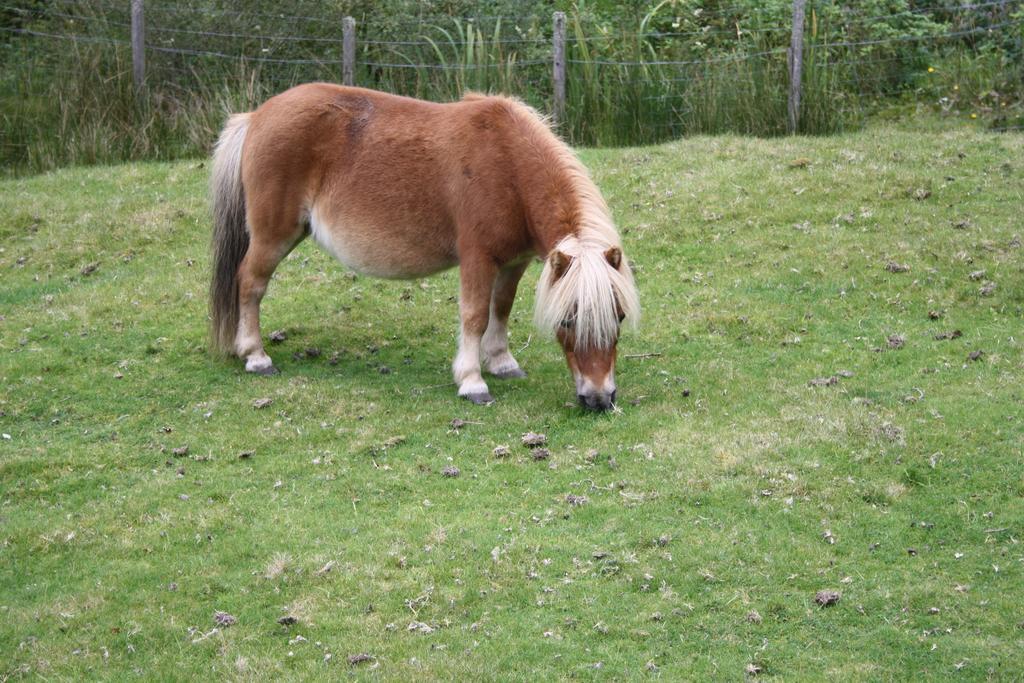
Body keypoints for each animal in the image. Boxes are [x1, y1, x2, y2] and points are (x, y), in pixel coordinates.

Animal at [210, 82, 634, 409]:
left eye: (619, 316)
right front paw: (472, 381)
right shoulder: (478, 258)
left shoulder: (514, 261)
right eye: (568, 320)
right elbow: (475, 316)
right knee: (250, 283)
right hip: (273, 236)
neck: (509, 168)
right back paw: (256, 356)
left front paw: (502, 363)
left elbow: (501, 308)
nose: (599, 399)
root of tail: (257, 116)